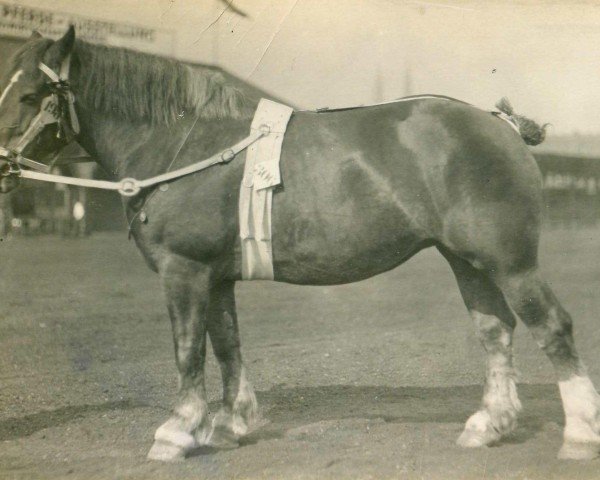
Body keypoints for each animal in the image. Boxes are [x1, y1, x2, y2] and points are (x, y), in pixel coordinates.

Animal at [0, 27, 596, 462]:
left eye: (30, 95)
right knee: (496, 332)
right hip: (467, 262)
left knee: (552, 327)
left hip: (510, 263)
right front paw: (232, 423)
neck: (185, 143)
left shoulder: (183, 270)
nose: (3, 165)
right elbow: (227, 344)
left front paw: (177, 431)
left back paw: (579, 435)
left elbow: (188, 349)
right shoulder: (216, 276)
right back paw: (489, 424)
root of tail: (502, 125)